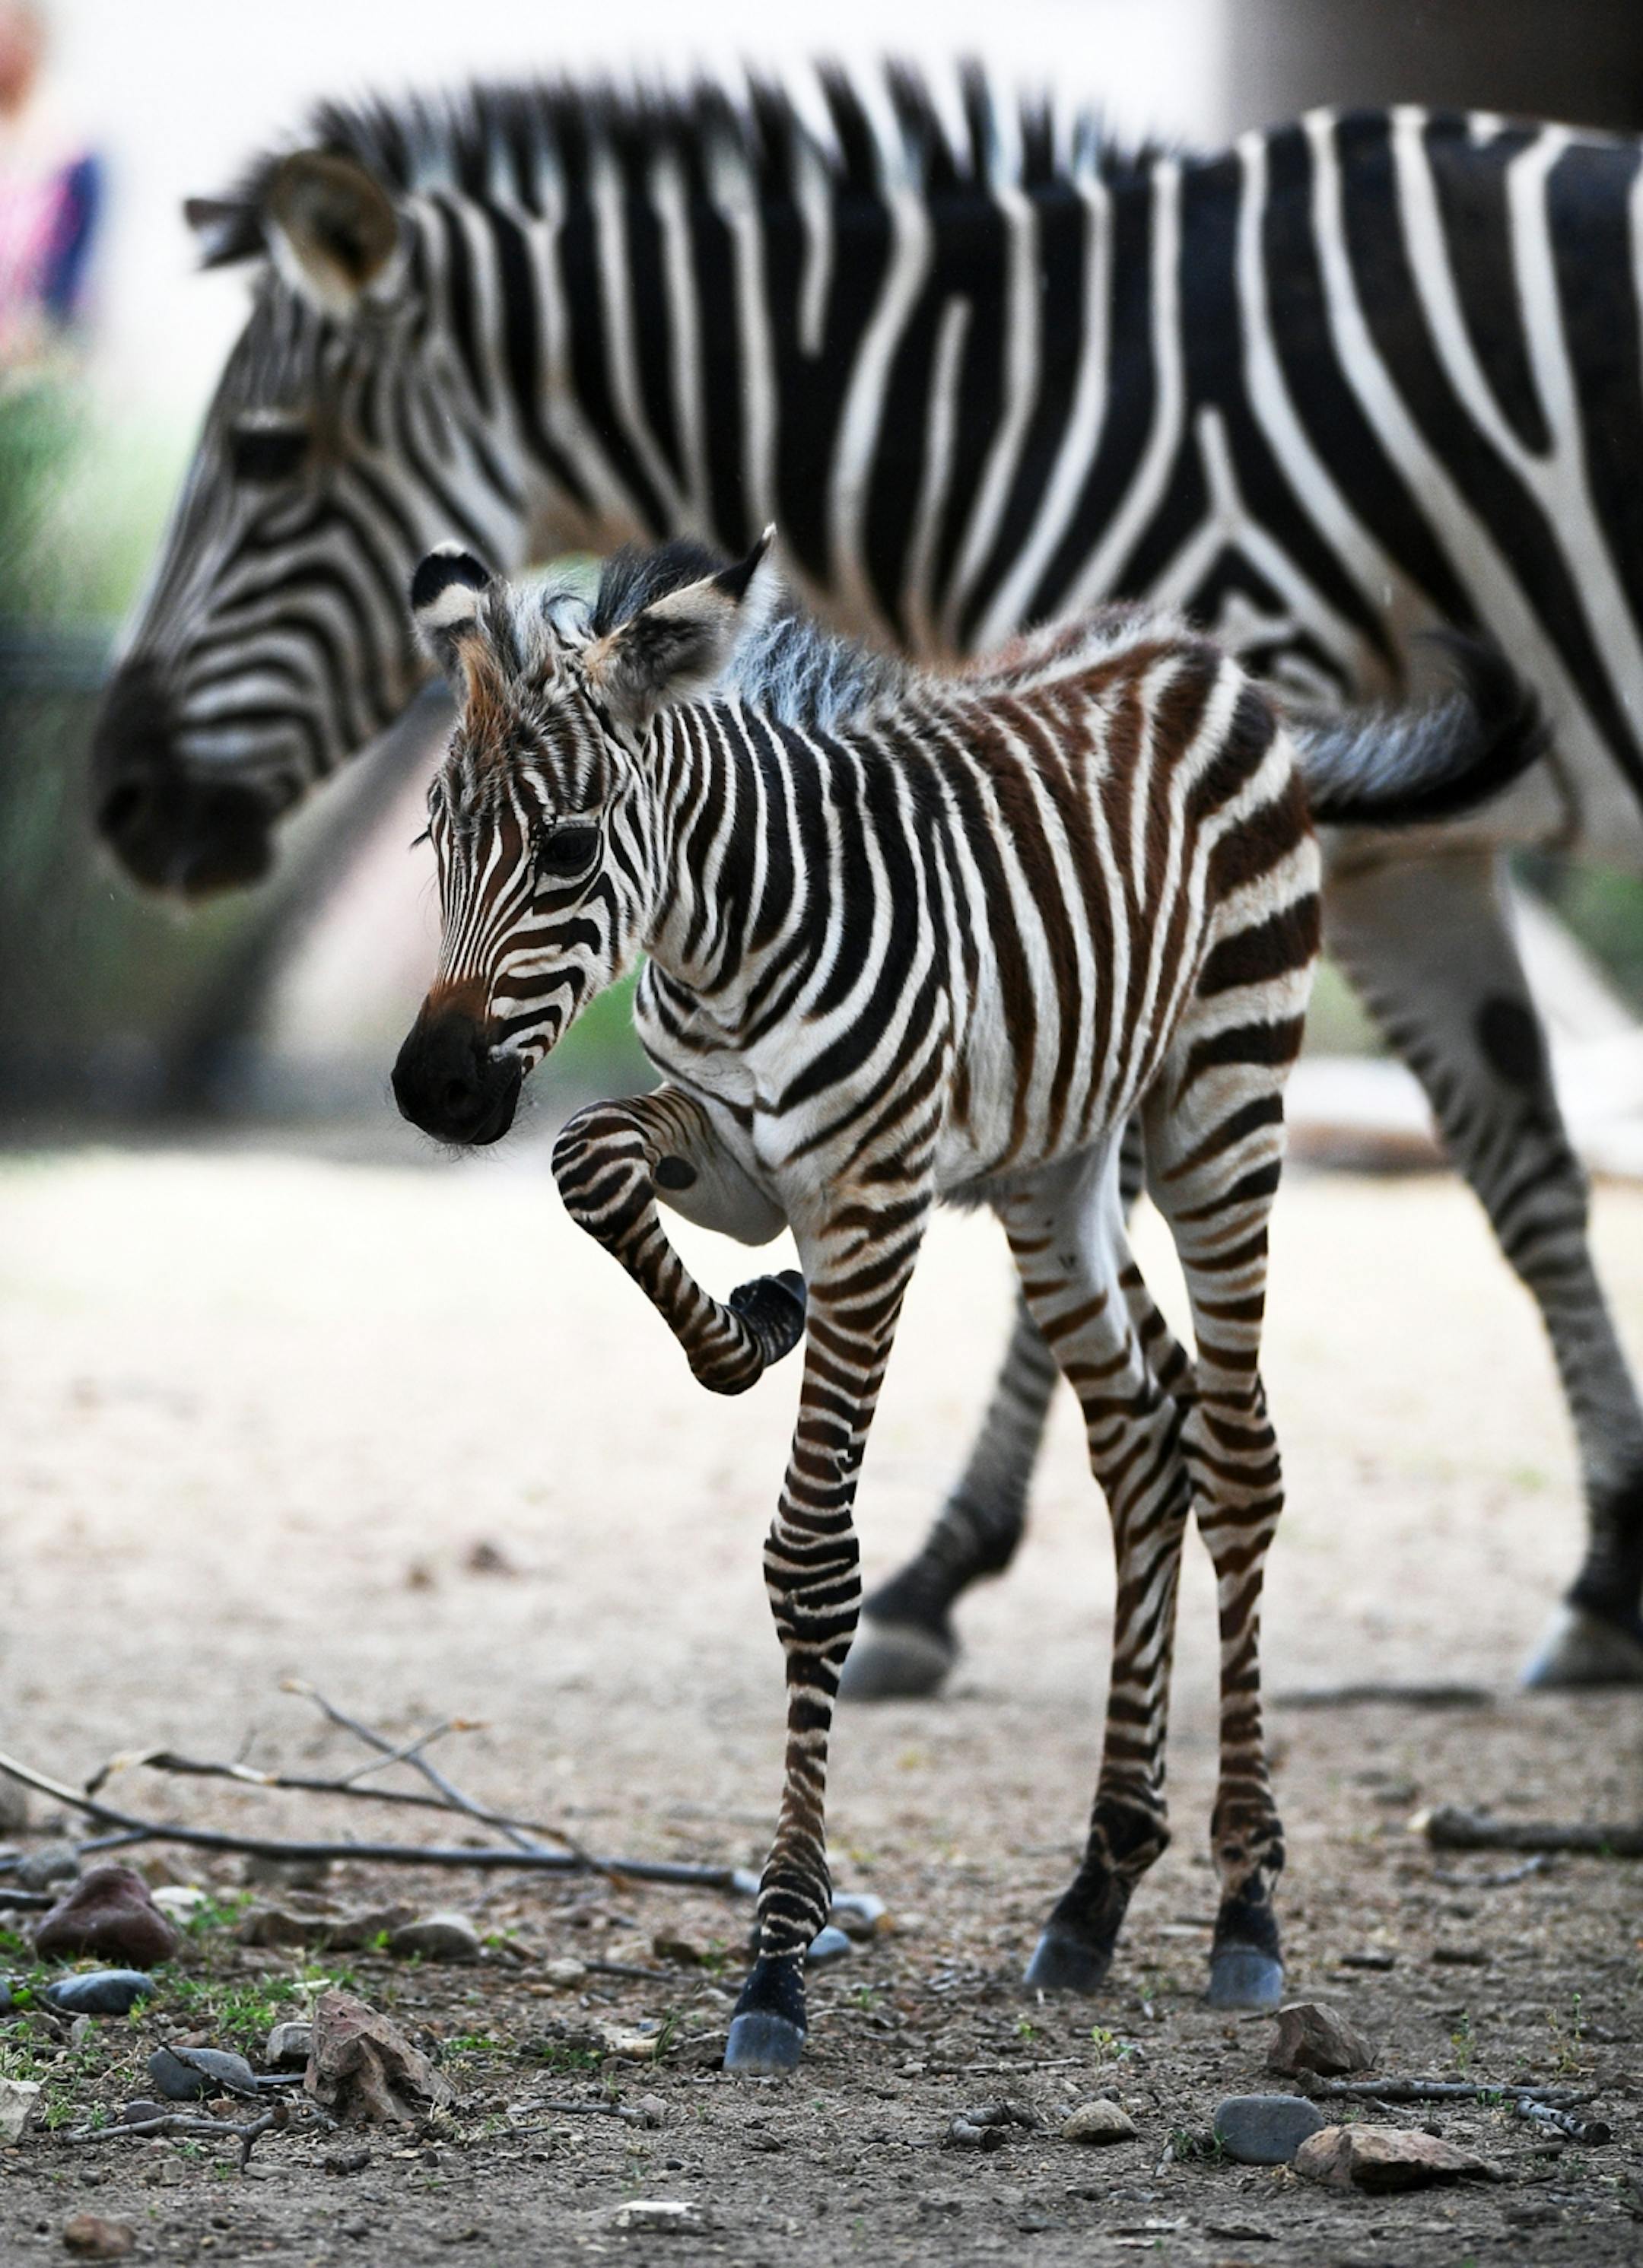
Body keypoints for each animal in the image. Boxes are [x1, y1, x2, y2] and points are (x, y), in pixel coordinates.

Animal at [89, 68, 1643, 1688]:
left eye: (265, 451)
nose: (118, 797)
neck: (1006, 395)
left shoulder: (1148, 864)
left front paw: (939, 1570)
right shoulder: (1395, 856)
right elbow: (1522, 1169)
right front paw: (1610, 1565)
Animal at [388, 530, 1539, 2072]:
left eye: (568, 848)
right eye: (433, 843)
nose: (434, 1092)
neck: (722, 942)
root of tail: (1188, 649)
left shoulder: (875, 1196)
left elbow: (814, 1565)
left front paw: (776, 1962)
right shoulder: (735, 1158)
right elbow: (590, 1162)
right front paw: (752, 1325)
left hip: (1222, 1100)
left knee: (1239, 1456)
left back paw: (1245, 1901)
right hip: (1056, 1172)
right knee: (1147, 1439)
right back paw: (1099, 1884)